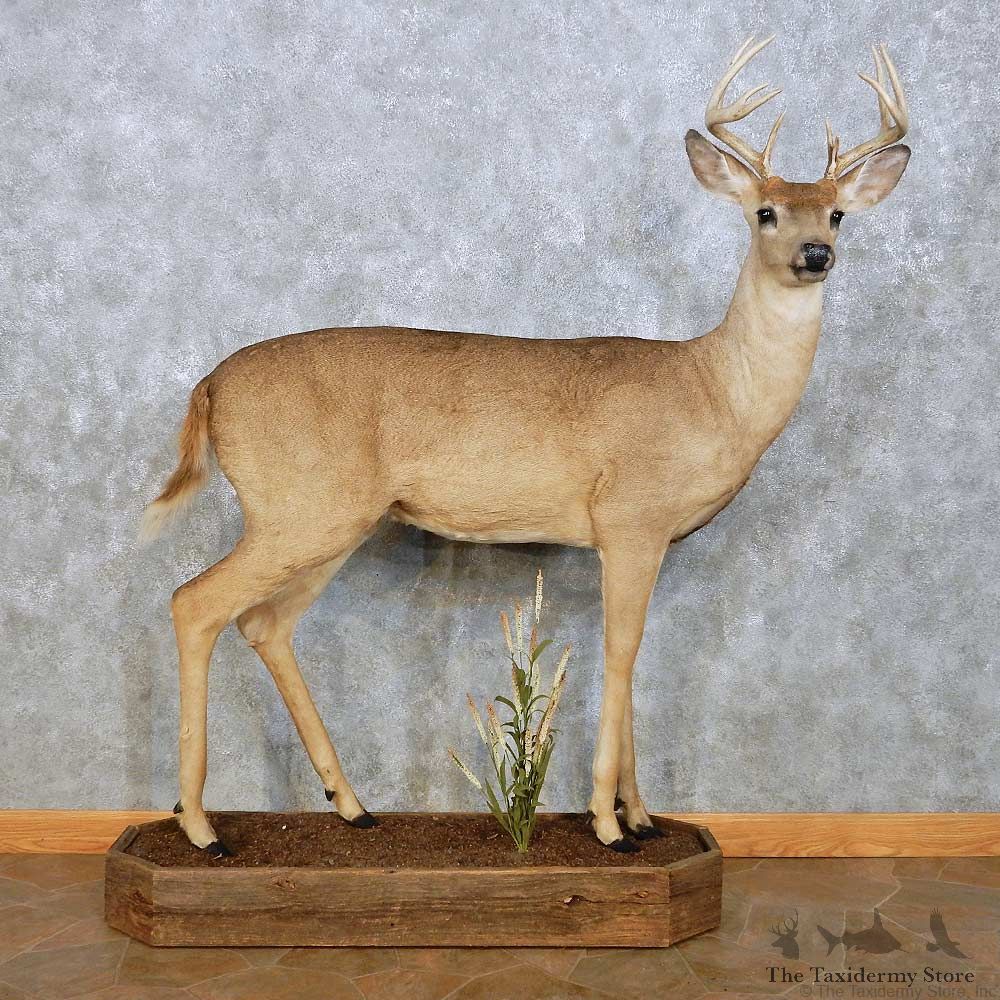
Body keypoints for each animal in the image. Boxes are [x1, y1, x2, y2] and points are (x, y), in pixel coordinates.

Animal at [141, 36, 910, 856]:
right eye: (765, 211)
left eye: (837, 213)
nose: (815, 254)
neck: (711, 391)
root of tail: (208, 388)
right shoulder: (632, 518)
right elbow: (621, 650)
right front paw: (609, 823)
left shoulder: (637, 538)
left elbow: (629, 656)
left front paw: (642, 815)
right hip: (299, 506)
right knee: (195, 603)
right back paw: (200, 827)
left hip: (334, 520)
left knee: (263, 624)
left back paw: (350, 805)